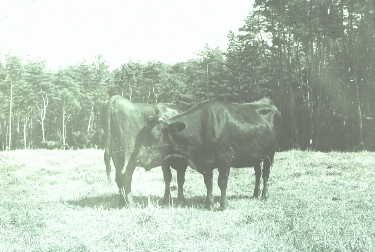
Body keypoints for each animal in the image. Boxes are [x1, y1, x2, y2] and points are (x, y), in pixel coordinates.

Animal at [129, 97, 282, 210]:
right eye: (141, 135)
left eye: (154, 135)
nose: (137, 159)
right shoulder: (206, 162)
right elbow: (208, 183)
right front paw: (209, 203)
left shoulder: (225, 158)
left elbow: (222, 182)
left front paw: (223, 205)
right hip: (256, 154)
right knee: (257, 173)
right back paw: (255, 193)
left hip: (271, 152)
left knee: (265, 174)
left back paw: (264, 195)